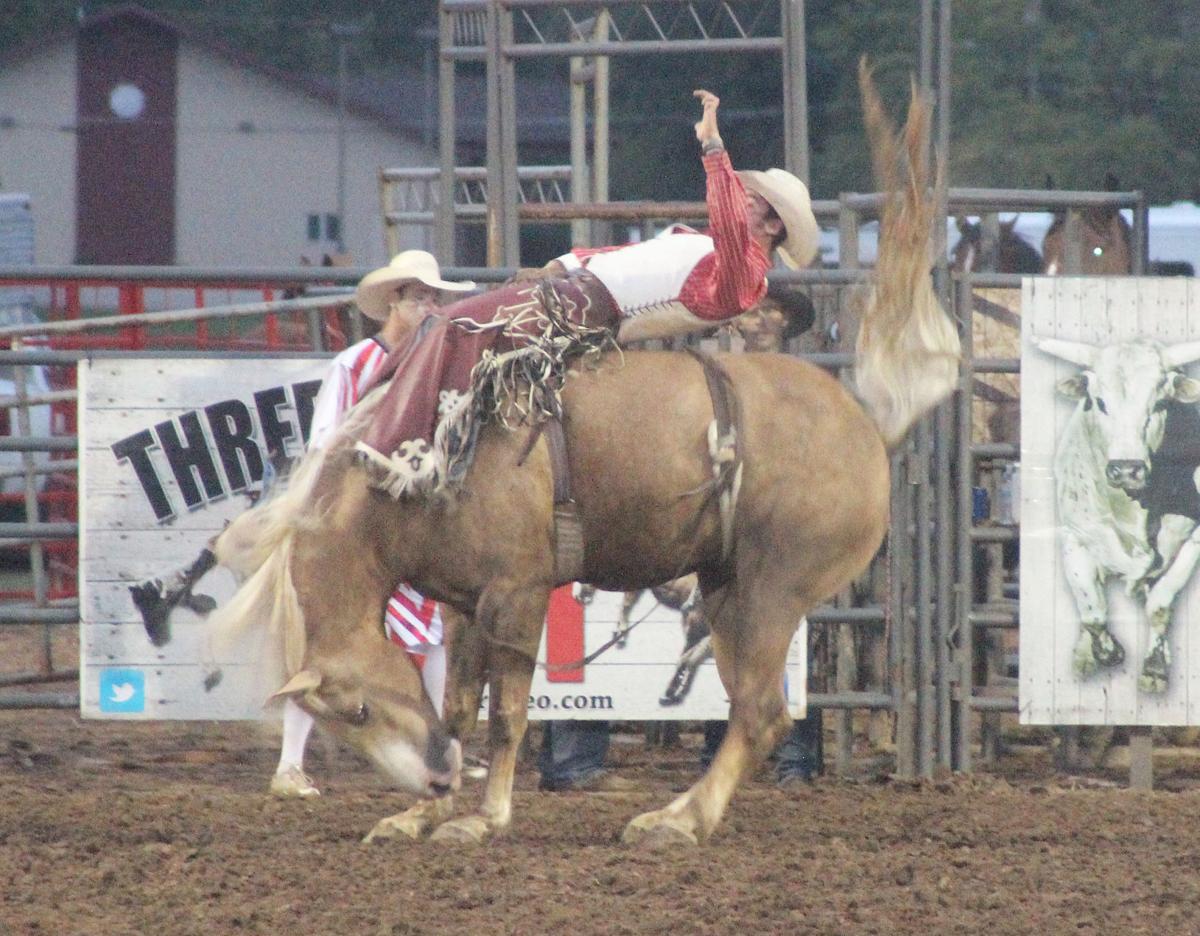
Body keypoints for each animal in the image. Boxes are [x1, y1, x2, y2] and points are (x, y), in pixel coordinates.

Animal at [199, 62, 964, 844]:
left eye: (356, 709)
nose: (434, 775)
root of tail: (866, 422)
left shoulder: (518, 591)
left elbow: (507, 712)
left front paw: (482, 818)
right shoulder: (464, 603)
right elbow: (458, 705)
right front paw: (421, 814)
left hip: (772, 587)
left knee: (759, 710)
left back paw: (676, 822)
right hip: (724, 588)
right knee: (754, 709)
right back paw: (675, 813)